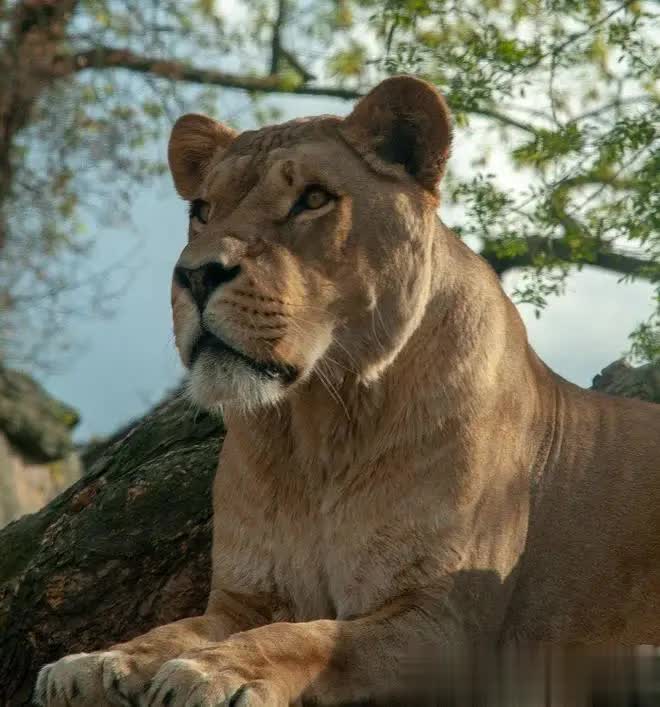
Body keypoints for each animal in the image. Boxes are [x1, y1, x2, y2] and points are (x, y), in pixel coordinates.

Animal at [35, 76, 660, 706]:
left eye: (313, 199)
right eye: (202, 211)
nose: (194, 275)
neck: (317, 429)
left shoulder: (444, 621)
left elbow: (311, 637)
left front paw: (215, 671)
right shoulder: (244, 598)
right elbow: (169, 632)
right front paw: (95, 663)